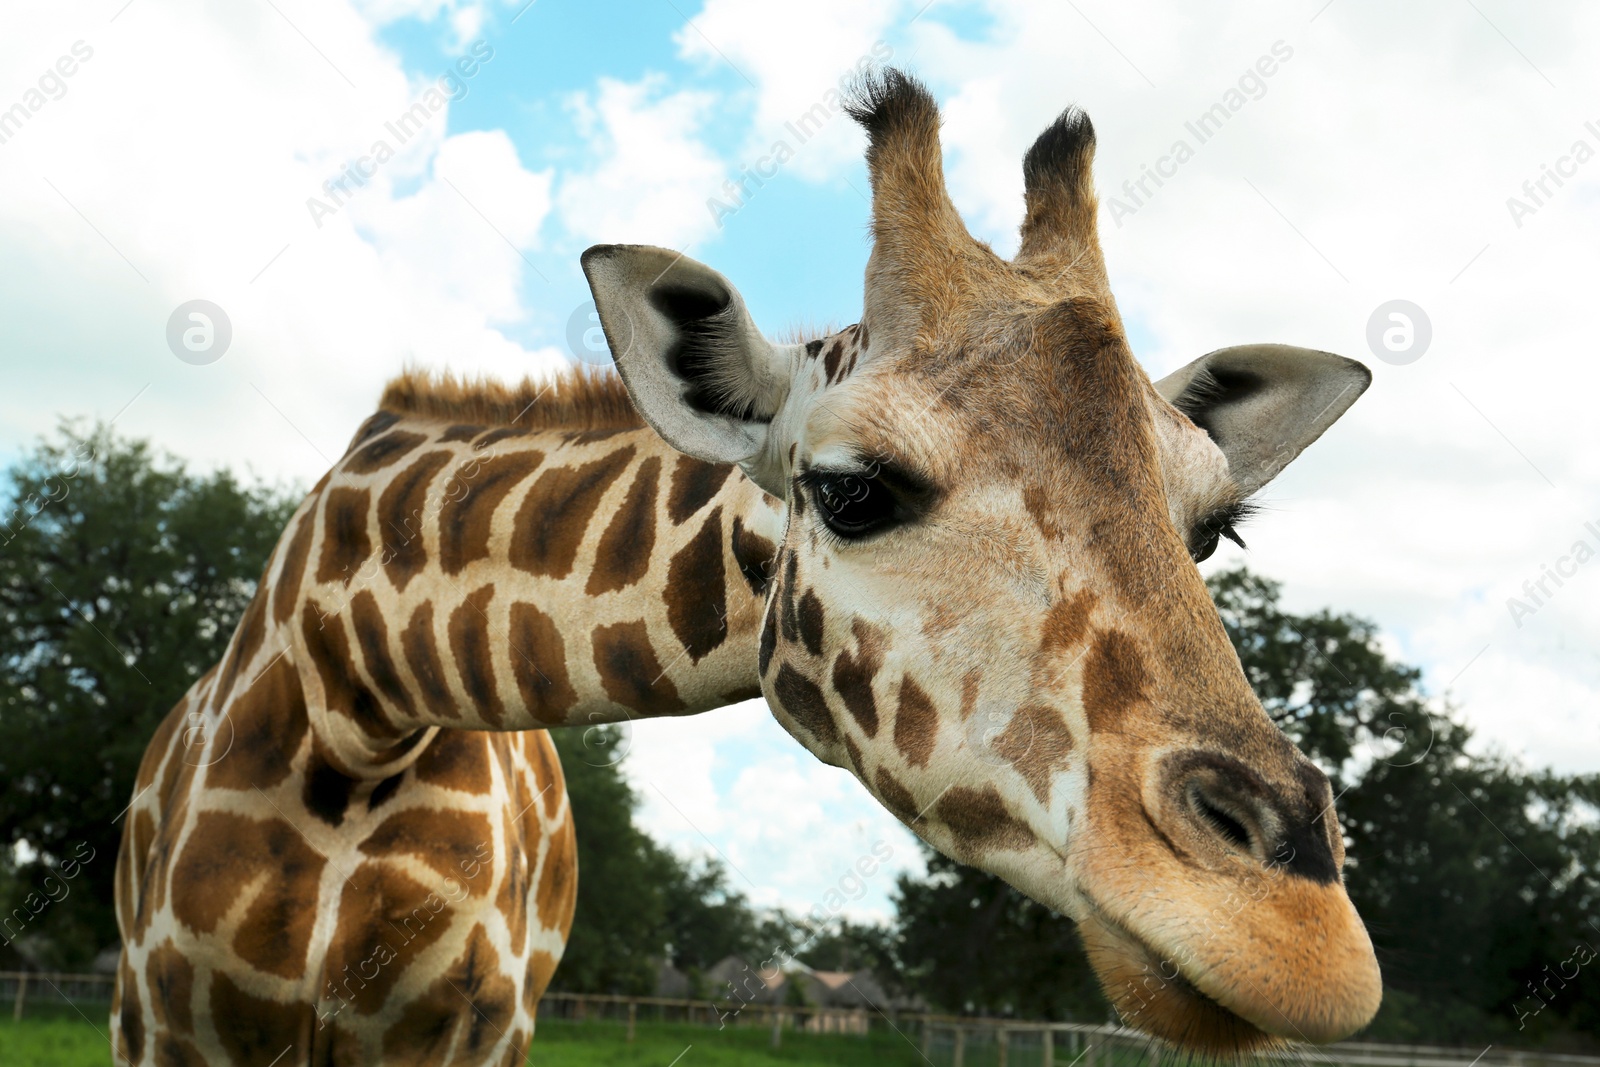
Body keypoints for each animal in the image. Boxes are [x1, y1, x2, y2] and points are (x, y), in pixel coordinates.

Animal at [118, 70, 1382, 1062]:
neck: (362, 696)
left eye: (1209, 528)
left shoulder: (478, 1024)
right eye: (852, 488)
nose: (1296, 936)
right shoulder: (160, 1013)